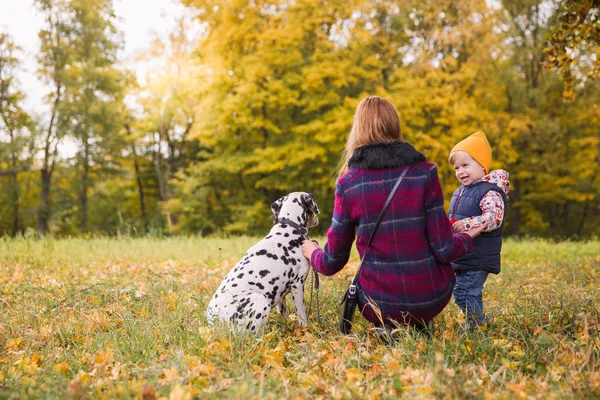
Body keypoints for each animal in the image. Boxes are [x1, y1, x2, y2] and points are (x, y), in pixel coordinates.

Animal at [206, 192, 318, 332]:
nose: (316, 220)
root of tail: (214, 322)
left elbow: (284, 315)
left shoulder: (281, 295)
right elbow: (302, 316)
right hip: (260, 300)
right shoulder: (297, 286)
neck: (289, 228)